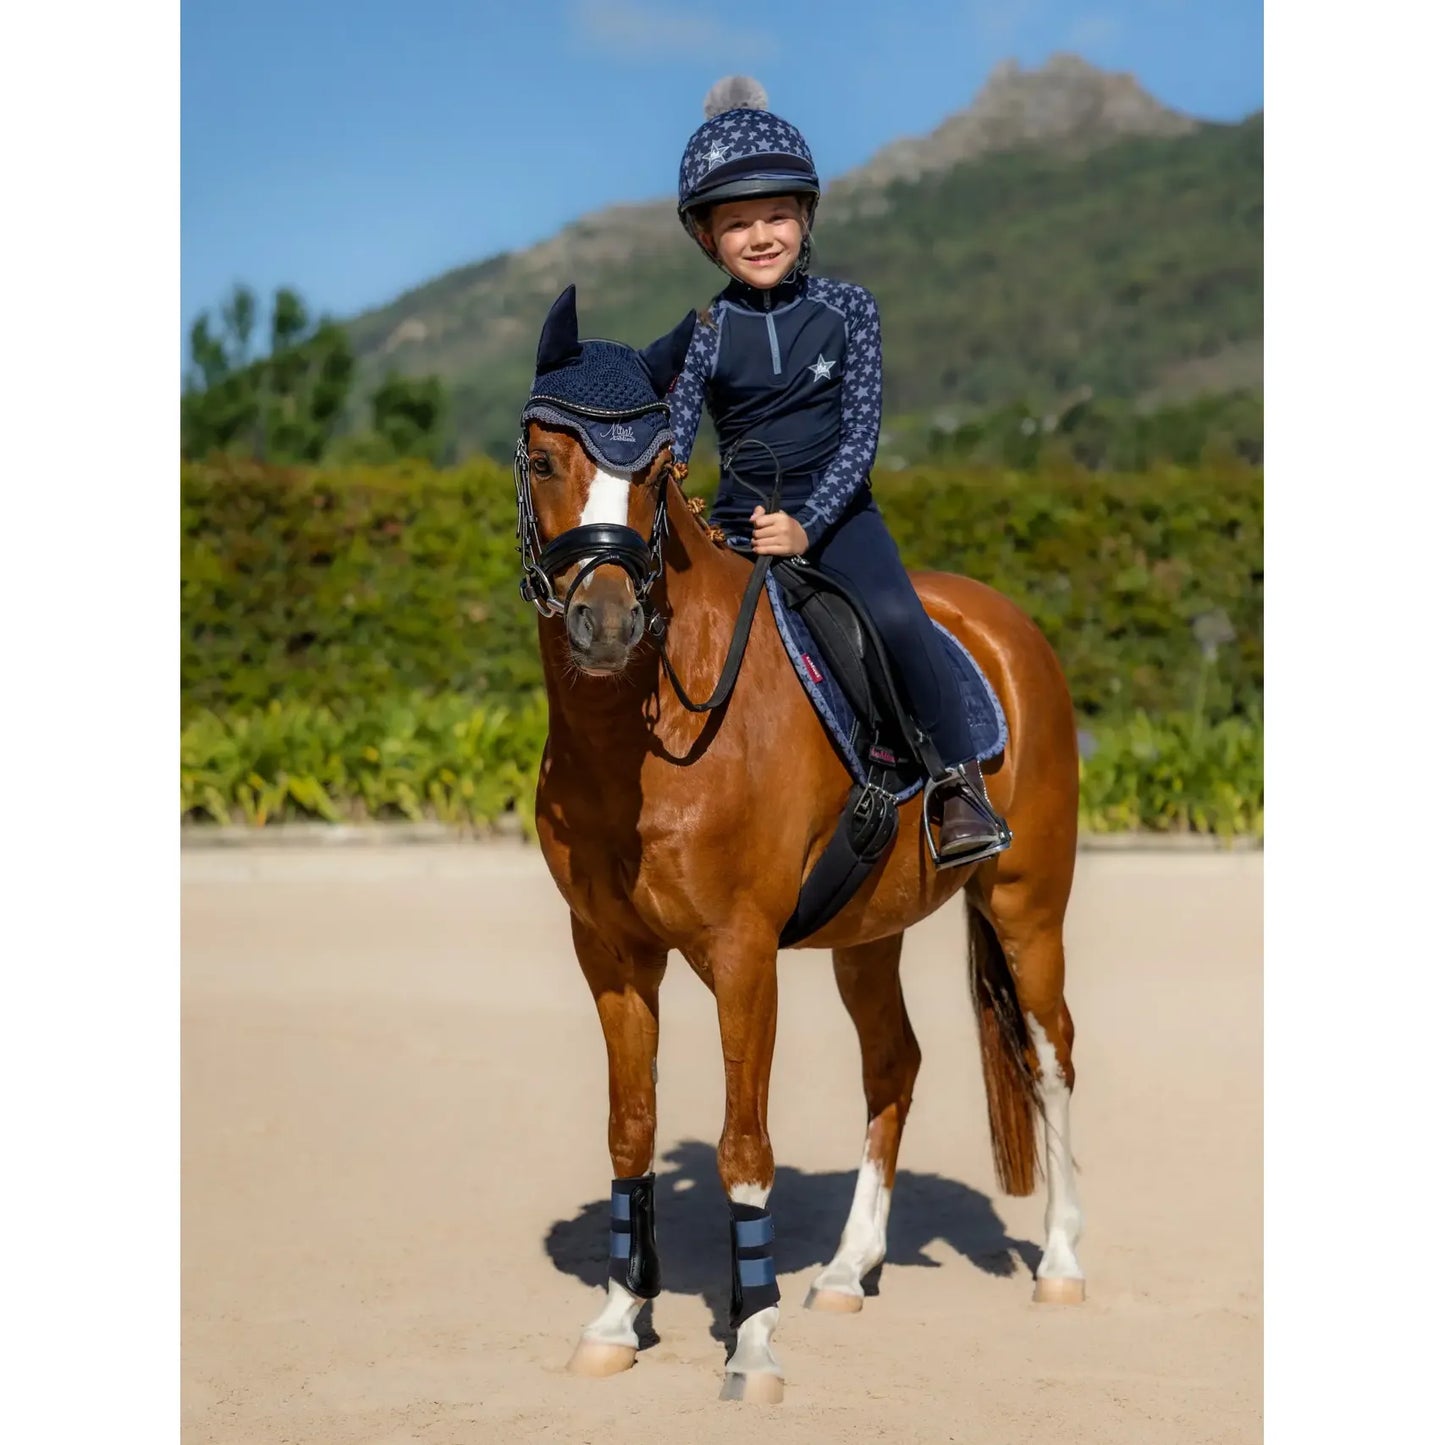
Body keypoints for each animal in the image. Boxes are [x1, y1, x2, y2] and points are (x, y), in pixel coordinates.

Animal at [515, 286, 1084, 1404]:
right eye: (542, 456)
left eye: (658, 468)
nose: (605, 621)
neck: (642, 736)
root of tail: (1007, 627)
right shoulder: (609, 953)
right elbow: (630, 1127)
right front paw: (617, 1317)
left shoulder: (741, 954)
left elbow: (744, 1145)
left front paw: (752, 1341)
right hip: (868, 934)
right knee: (893, 1062)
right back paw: (849, 1269)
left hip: (1026, 905)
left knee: (1052, 1057)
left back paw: (1061, 1262)